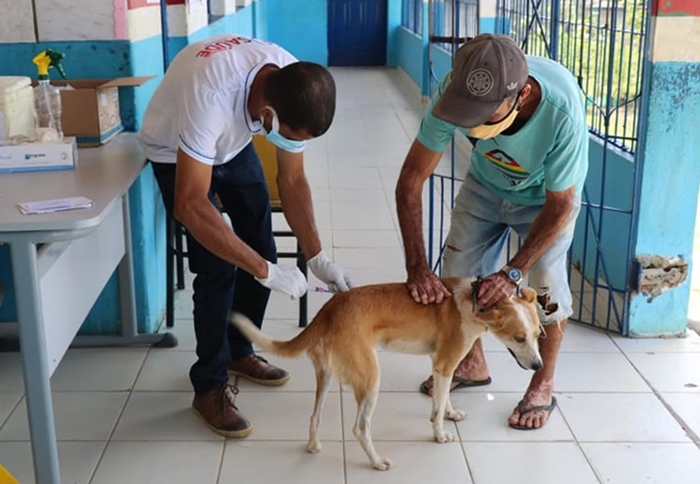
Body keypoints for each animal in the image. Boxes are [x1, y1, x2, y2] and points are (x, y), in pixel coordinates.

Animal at [232, 278, 544, 470]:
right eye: (519, 338)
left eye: (538, 334)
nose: (539, 367)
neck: (475, 301)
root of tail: (328, 309)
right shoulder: (445, 364)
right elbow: (437, 408)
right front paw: (439, 434)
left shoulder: (440, 364)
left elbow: (442, 399)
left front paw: (450, 413)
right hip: (370, 379)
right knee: (360, 428)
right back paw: (377, 461)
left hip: (327, 375)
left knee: (314, 416)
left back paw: (313, 446)